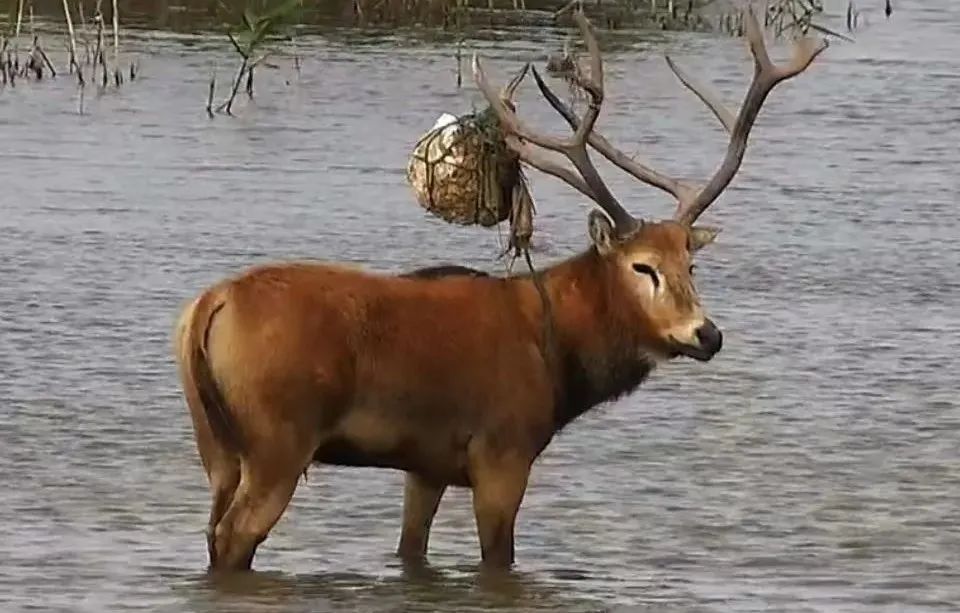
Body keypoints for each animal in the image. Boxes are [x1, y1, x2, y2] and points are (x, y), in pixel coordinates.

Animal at [172, 8, 824, 572]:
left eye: (692, 264)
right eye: (643, 267)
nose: (706, 334)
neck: (559, 357)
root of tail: (208, 306)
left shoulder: (427, 464)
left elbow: (411, 551)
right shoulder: (502, 451)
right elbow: (498, 559)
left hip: (216, 444)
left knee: (210, 528)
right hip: (279, 438)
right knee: (234, 538)